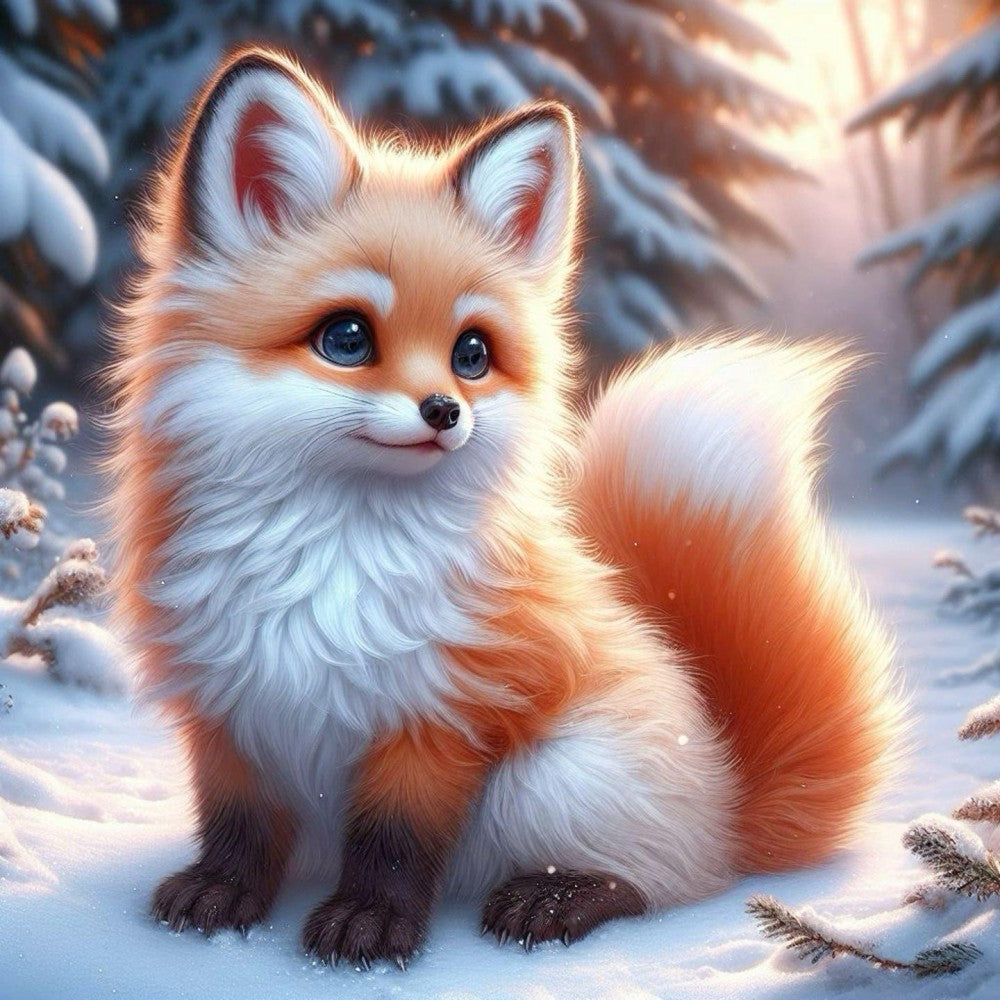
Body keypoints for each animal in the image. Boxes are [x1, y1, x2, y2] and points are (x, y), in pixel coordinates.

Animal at [105, 46, 902, 970]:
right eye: (347, 338)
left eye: (472, 354)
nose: (445, 411)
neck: (333, 566)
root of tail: (732, 806)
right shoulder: (229, 706)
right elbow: (239, 826)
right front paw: (223, 897)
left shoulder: (440, 715)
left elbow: (394, 842)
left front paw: (370, 924)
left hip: (548, 779)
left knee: (655, 887)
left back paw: (554, 901)